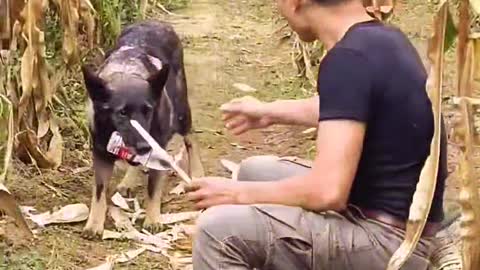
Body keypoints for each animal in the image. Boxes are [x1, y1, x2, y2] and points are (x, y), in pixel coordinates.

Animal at [82, 19, 202, 238]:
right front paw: (94, 223)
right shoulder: (101, 154)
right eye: (121, 113)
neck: (127, 73)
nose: (145, 146)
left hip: (181, 112)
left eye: (148, 110)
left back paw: (197, 171)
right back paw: (129, 181)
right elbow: (99, 192)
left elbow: (153, 189)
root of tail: (158, 22)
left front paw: (152, 219)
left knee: (191, 137)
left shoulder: (157, 146)